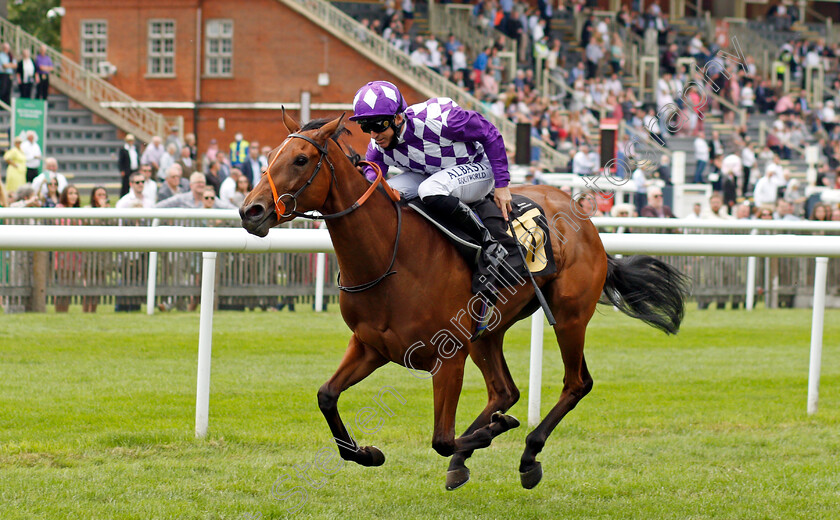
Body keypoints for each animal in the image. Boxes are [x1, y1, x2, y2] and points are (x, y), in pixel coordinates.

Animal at [238, 111, 688, 490]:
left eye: (300, 159)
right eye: (270, 157)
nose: (250, 211)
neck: (391, 257)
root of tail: (586, 222)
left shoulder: (447, 358)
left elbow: (441, 438)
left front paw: (492, 433)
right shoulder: (370, 346)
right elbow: (326, 396)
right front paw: (368, 453)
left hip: (569, 316)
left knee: (576, 383)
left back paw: (527, 454)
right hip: (487, 331)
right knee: (505, 391)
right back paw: (471, 455)